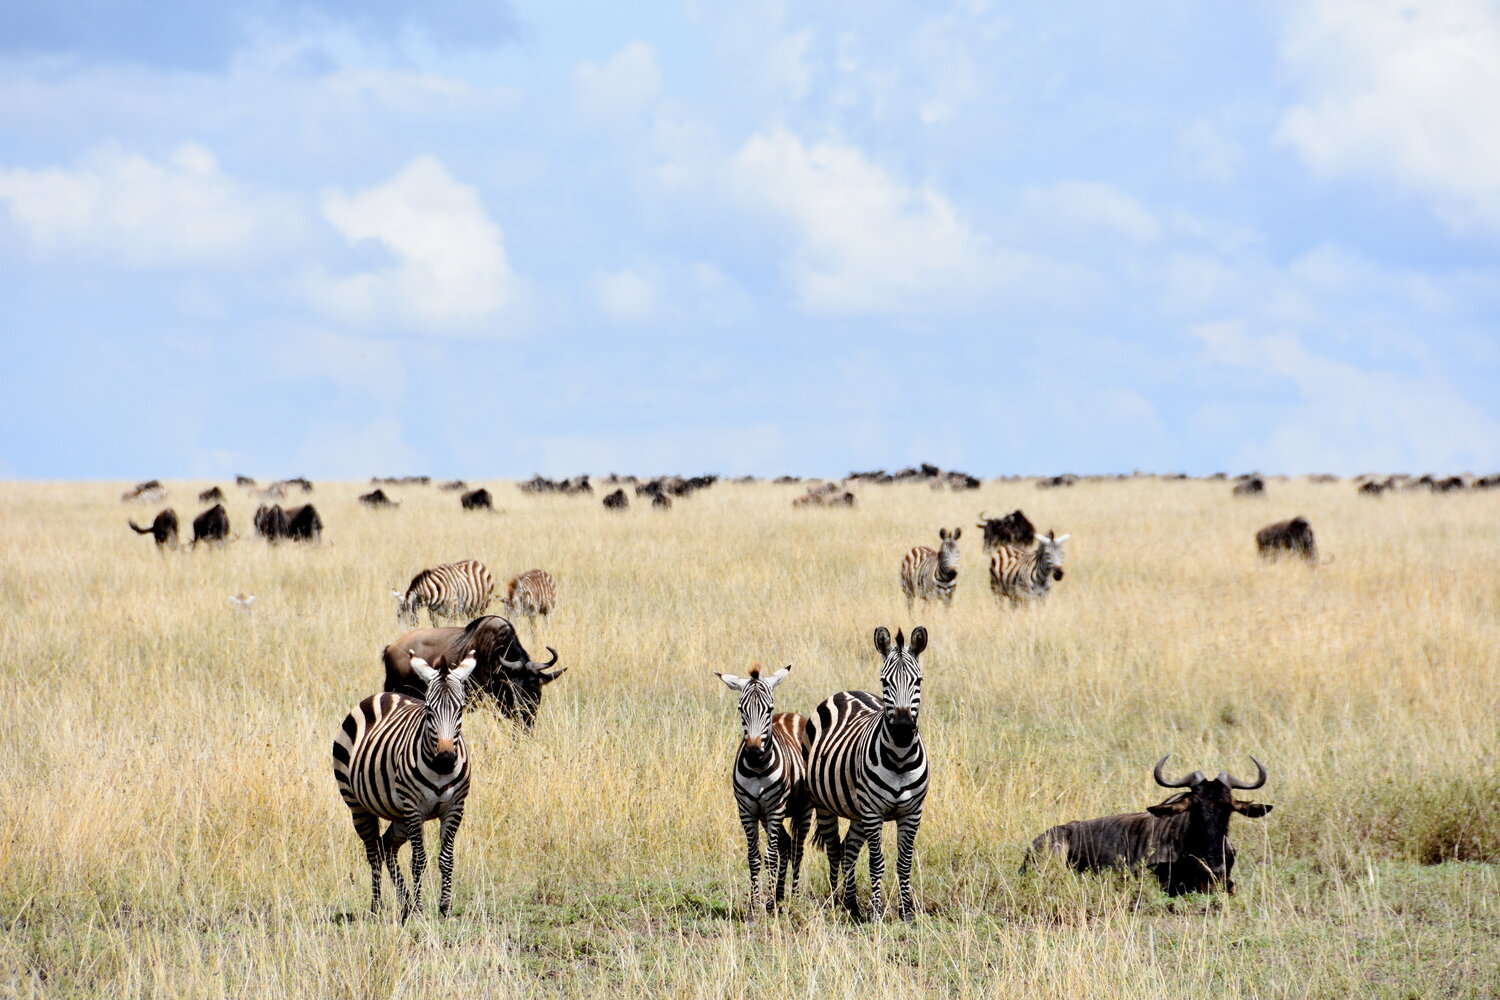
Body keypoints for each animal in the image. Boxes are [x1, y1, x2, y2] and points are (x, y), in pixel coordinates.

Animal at [333, 653, 474, 917]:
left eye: (460, 709)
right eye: (428, 710)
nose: (445, 759)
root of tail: (382, 695)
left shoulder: (455, 808)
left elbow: (446, 859)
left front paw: (445, 909)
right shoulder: (414, 808)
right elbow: (418, 860)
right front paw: (419, 910)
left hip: (400, 815)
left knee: (387, 845)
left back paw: (404, 903)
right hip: (359, 805)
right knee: (373, 851)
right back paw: (378, 906)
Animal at [711, 659, 810, 917]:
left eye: (768, 709)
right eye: (741, 709)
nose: (754, 751)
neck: (757, 768)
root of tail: (793, 715)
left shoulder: (775, 808)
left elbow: (771, 856)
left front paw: (769, 906)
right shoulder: (747, 810)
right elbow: (754, 856)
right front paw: (756, 905)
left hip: (803, 809)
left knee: (796, 848)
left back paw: (794, 899)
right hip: (766, 816)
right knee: (786, 845)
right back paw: (779, 896)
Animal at [810, 626, 924, 923]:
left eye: (918, 681)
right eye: (885, 682)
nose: (903, 729)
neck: (900, 758)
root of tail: (847, 692)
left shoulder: (912, 813)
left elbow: (903, 862)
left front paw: (906, 913)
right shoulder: (873, 811)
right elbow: (877, 862)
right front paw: (876, 913)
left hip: (857, 810)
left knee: (849, 850)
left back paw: (851, 905)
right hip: (825, 804)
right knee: (835, 850)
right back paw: (836, 901)